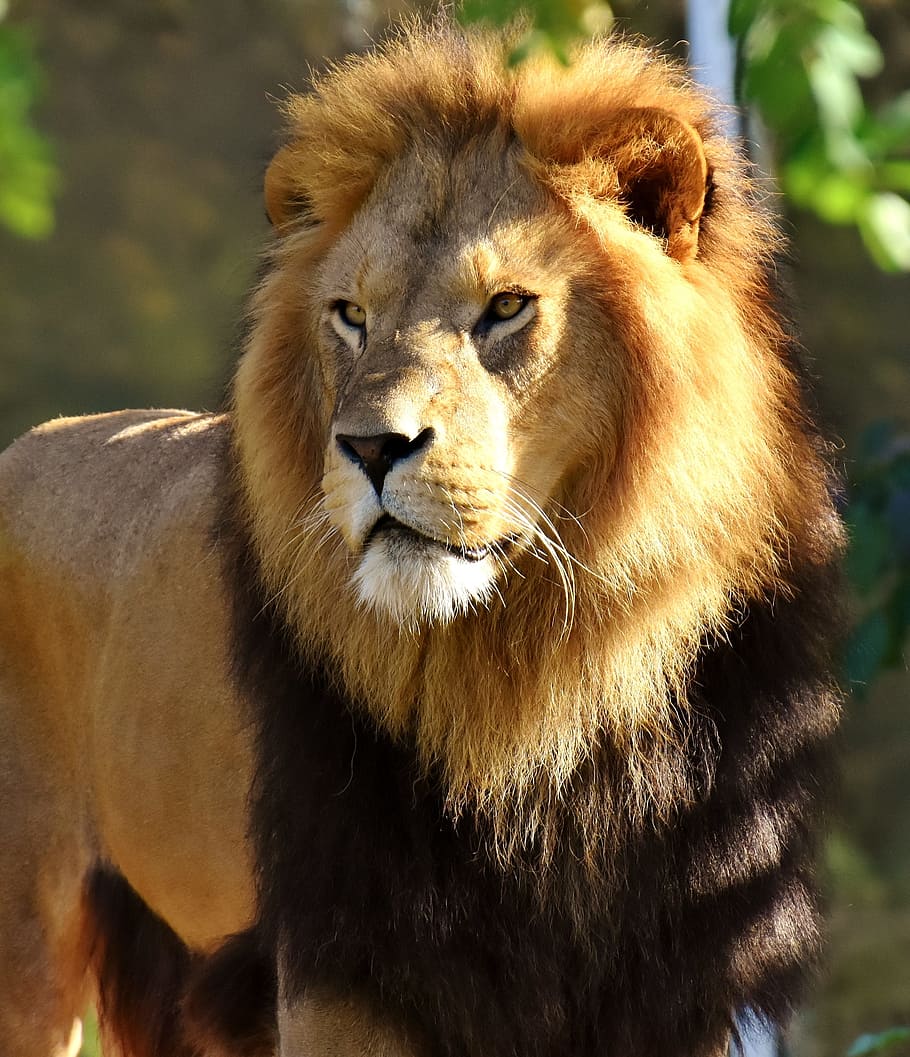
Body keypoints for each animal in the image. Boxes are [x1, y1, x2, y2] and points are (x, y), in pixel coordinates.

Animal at [0, 20, 841, 1057]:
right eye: (351, 315)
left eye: (508, 307)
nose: (369, 446)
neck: (546, 685)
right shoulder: (346, 972)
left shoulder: (671, 980)